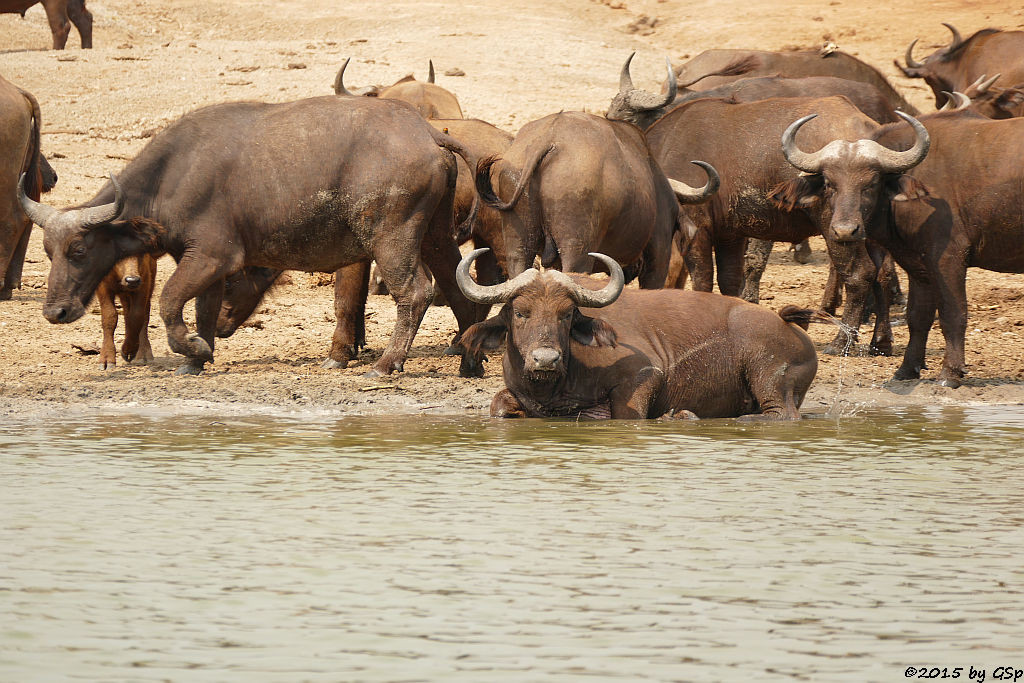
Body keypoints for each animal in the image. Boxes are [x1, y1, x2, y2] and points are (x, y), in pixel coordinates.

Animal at [18, 94, 487, 378]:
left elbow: (169, 300)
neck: (173, 173)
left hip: (393, 239)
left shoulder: (212, 257)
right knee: (459, 289)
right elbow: (203, 309)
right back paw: (470, 360)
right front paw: (197, 358)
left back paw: (388, 363)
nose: (55, 312)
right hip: (435, 235)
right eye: (47, 251)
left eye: (79, 249)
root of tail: (427, 132)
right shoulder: (203, 264)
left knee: (416, 292)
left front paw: (191, 347)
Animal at [651, 94, 933, 358]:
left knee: (860, 274)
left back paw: (840, 343)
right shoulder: (730, 235)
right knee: (883, 274)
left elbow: (702, 280)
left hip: (839, 232)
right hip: (868, 234)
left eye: (871, 183)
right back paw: (880, 343)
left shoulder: (698, 230)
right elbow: (729, 281)